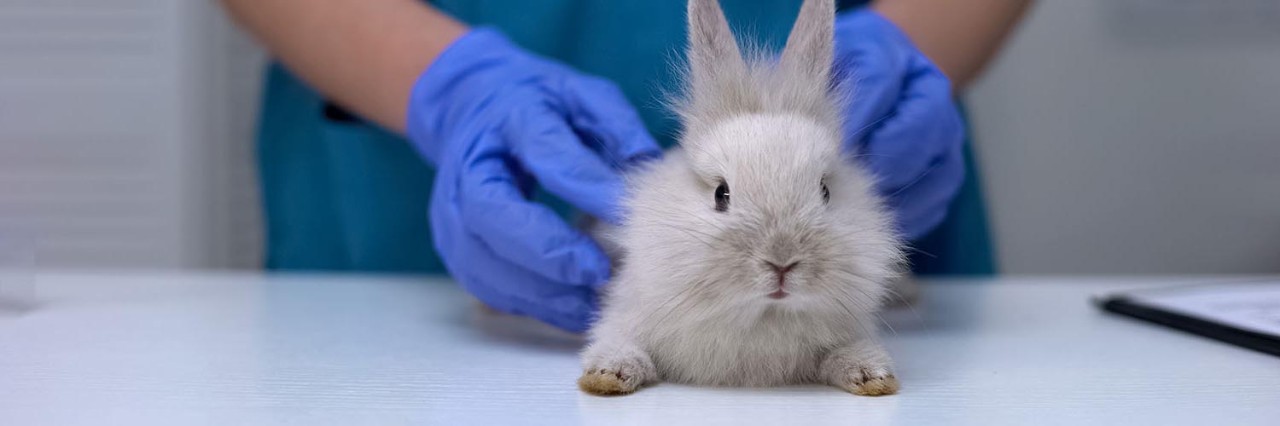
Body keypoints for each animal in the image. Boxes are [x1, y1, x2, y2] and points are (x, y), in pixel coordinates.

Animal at [576, 0, 905, 397]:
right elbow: (620, 342)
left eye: (825, 191)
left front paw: (873, 376)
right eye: (722, 194)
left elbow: (848, 352)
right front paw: (607, 375)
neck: (761, 318)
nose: (782, 263)